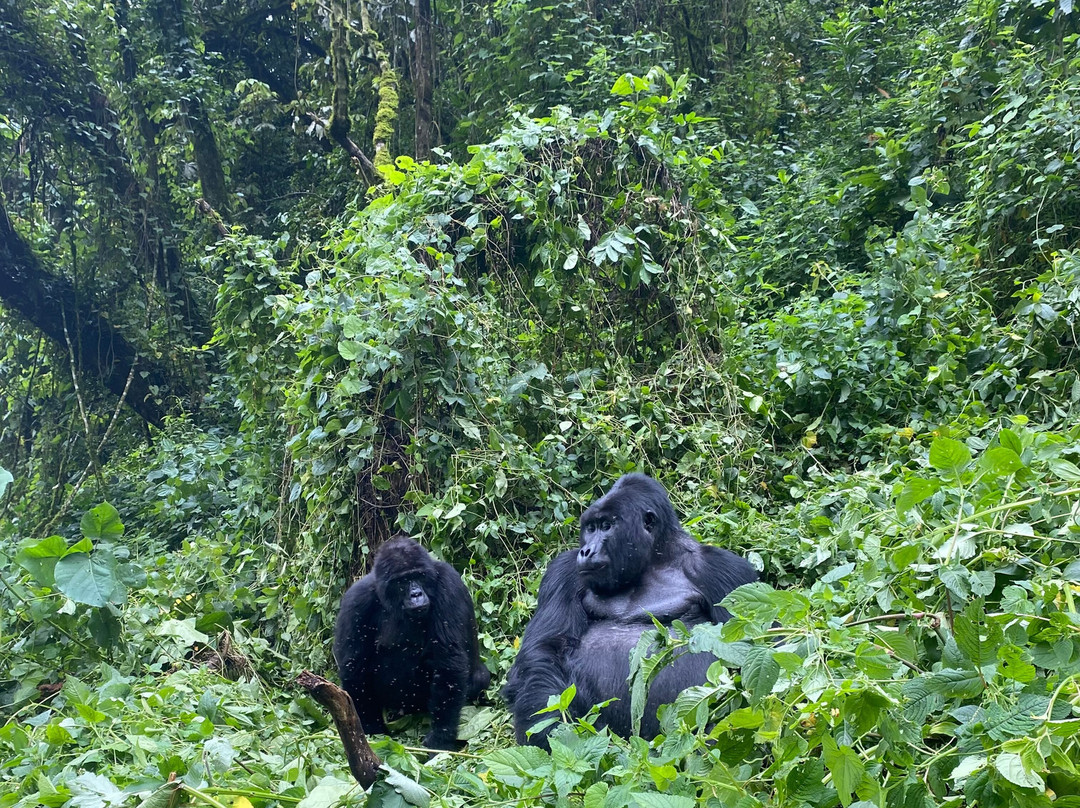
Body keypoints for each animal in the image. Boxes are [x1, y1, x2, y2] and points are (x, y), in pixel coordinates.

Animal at [330, 535, 492, 751]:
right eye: (402, 581)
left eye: (419, 576)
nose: (416, 594)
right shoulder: (356, 599)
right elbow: (353, 665)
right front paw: (371, 731)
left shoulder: (449, 585)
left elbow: (449, 662)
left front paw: (439, 740)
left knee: (479, 678)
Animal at [505, 473, 760, 743]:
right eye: (591, 528)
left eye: (607, 526)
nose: (586, 551)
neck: (655, 558)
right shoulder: (563, 571)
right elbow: (544, 652)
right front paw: (556, 734)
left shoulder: (725, 570)